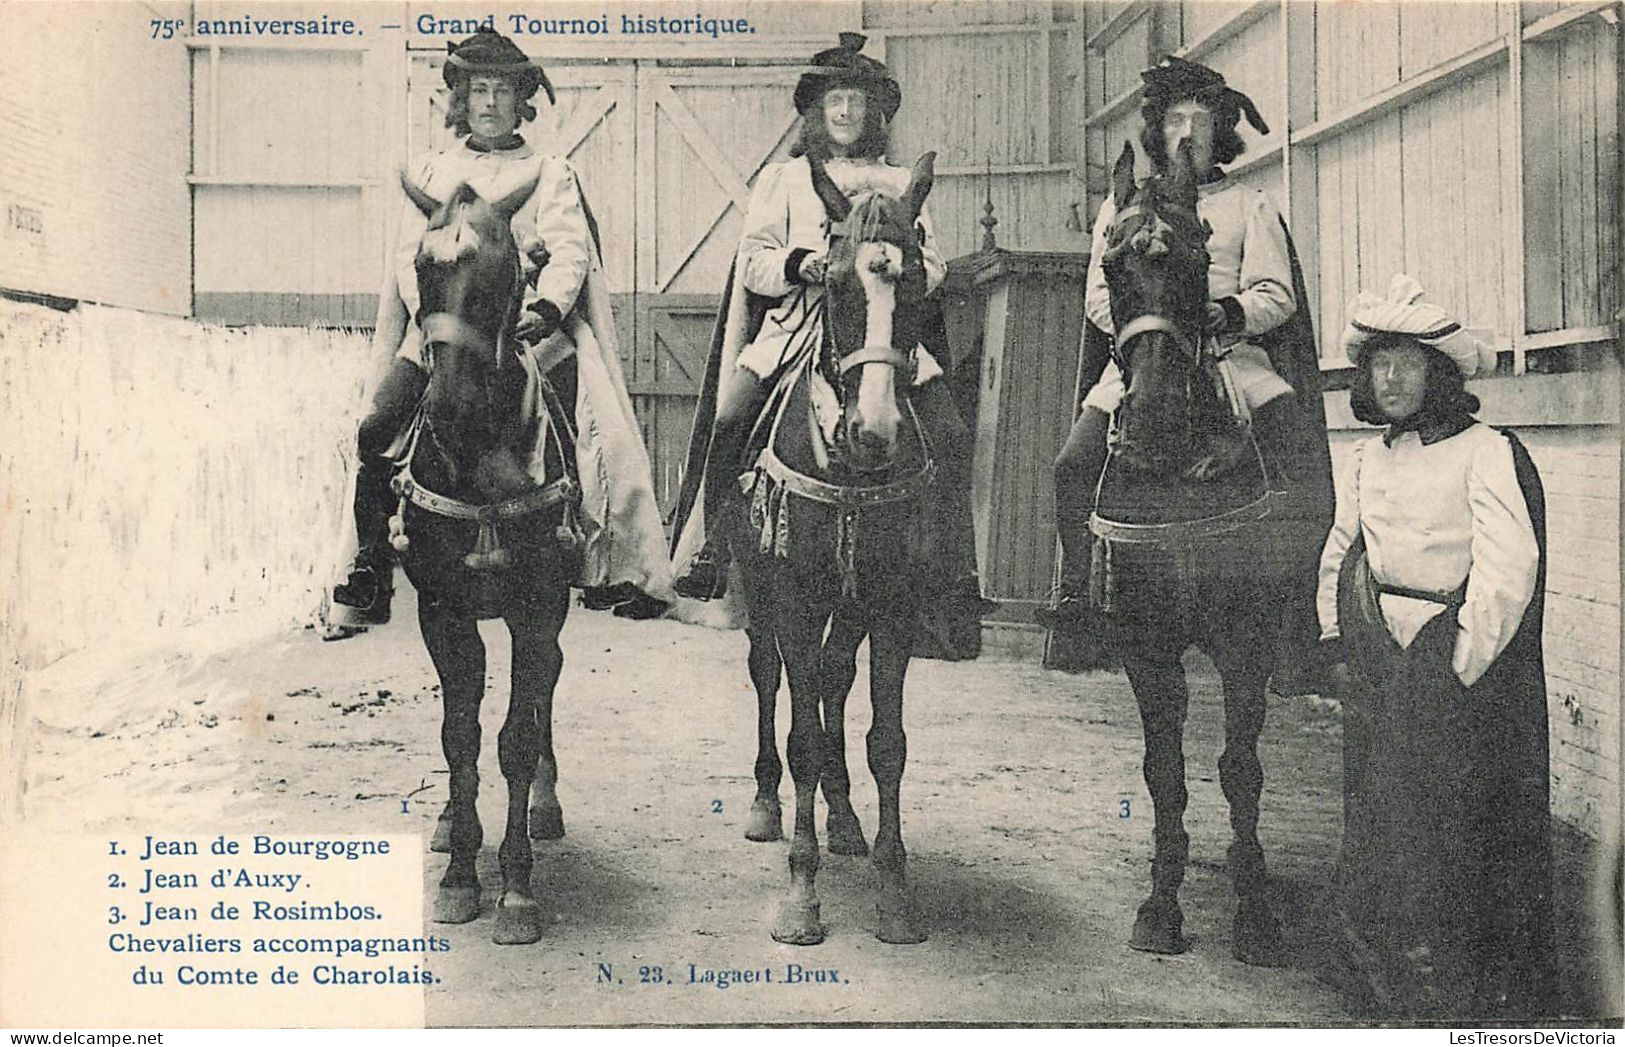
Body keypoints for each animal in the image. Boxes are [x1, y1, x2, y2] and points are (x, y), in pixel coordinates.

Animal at [724, 151, 942, 942]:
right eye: (837, 282)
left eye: (914, 280)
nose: (873, 432)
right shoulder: (790, 595)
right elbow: (800, 739)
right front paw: (800, 894)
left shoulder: (892, 601)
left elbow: (887, 740)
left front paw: (894, 887)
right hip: (757, 590)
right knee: (772, 679)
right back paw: (765, 805)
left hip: (847, 607)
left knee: (831, 680)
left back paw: (845, 820)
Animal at [1085, 139, 1313, 962]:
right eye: (1110, 263)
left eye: (1197, 259)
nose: (1151, 416)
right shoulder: (1145, 641)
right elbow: (1165, 769)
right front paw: (1161, 903)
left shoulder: (1247, 639)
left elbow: (1239, 768)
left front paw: (1255, 910)